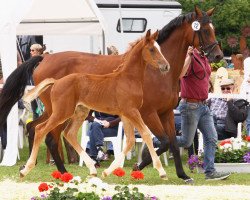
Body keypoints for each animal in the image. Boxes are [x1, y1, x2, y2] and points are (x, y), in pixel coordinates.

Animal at [0, 7, 223, 183]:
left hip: (63, 110)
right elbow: (163, 141)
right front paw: (139, 167)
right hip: (60, 111)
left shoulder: (165, 112)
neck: (153, 73)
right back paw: (60, 171)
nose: (218, 55)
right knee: (48, 136)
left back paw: (42, 167)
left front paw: (182, 175)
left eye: (213, 29)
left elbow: (173, 143)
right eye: (204, 30)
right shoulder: (148, 113)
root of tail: (42, 59)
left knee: (37, 129)